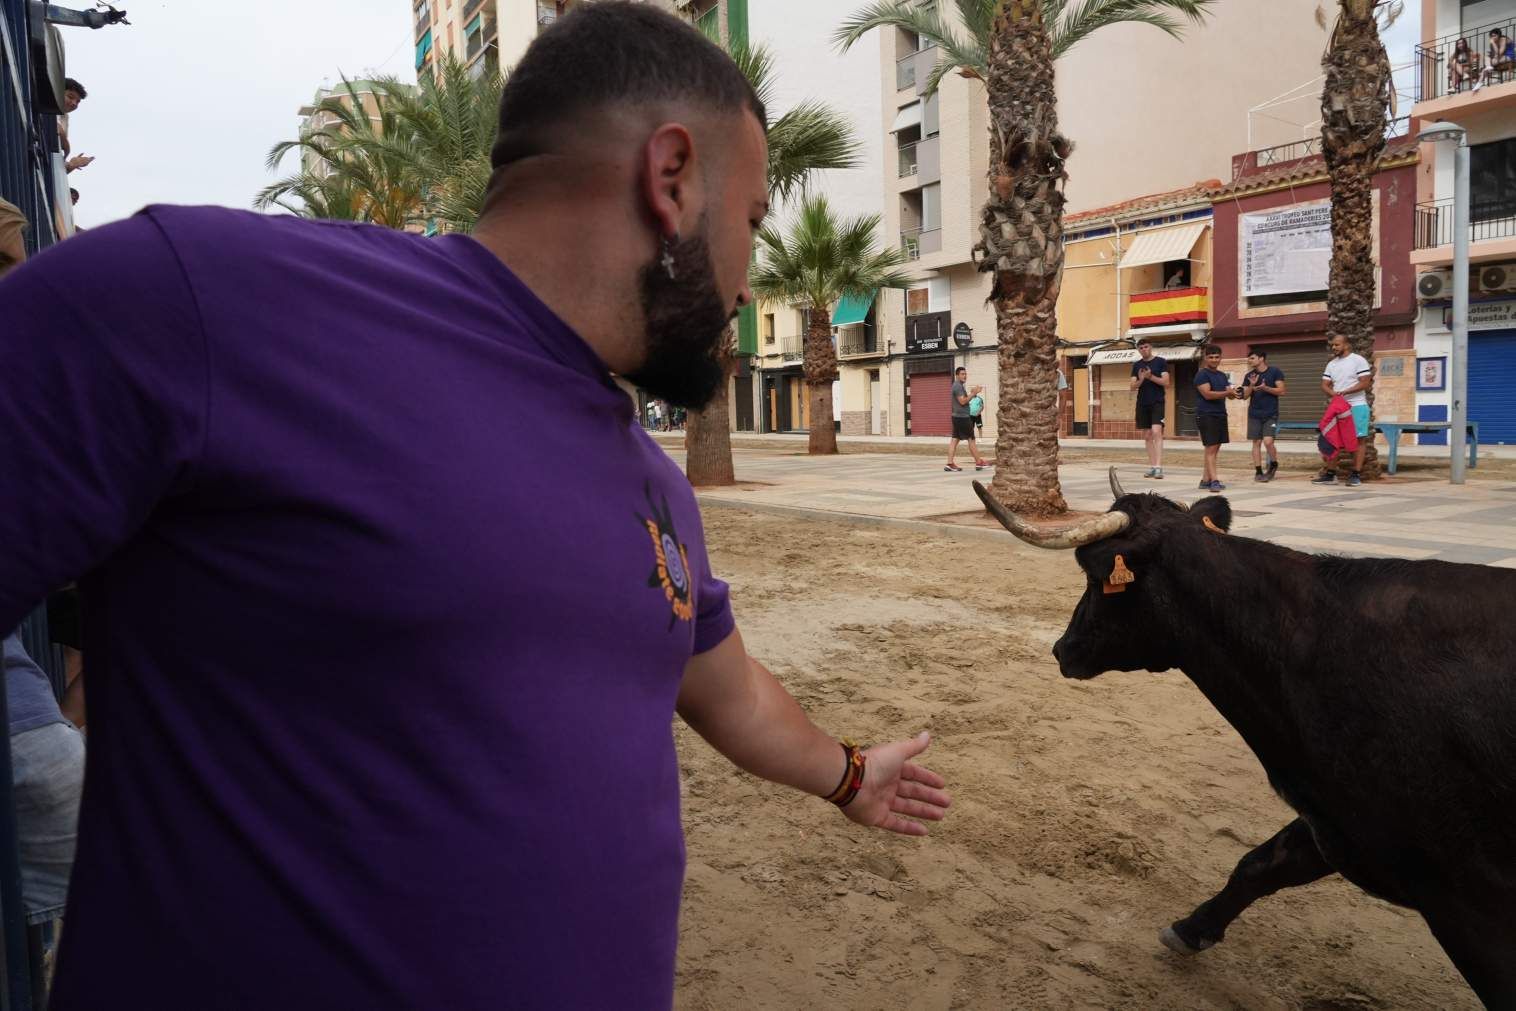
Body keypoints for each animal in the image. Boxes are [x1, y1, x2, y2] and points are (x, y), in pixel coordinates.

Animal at [976, 475, 1516, 1011]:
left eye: (1095, 580)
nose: (1060, 649)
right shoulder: (1340, 821)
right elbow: (1263, 863)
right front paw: (1191, 929)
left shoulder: (1468, 898)